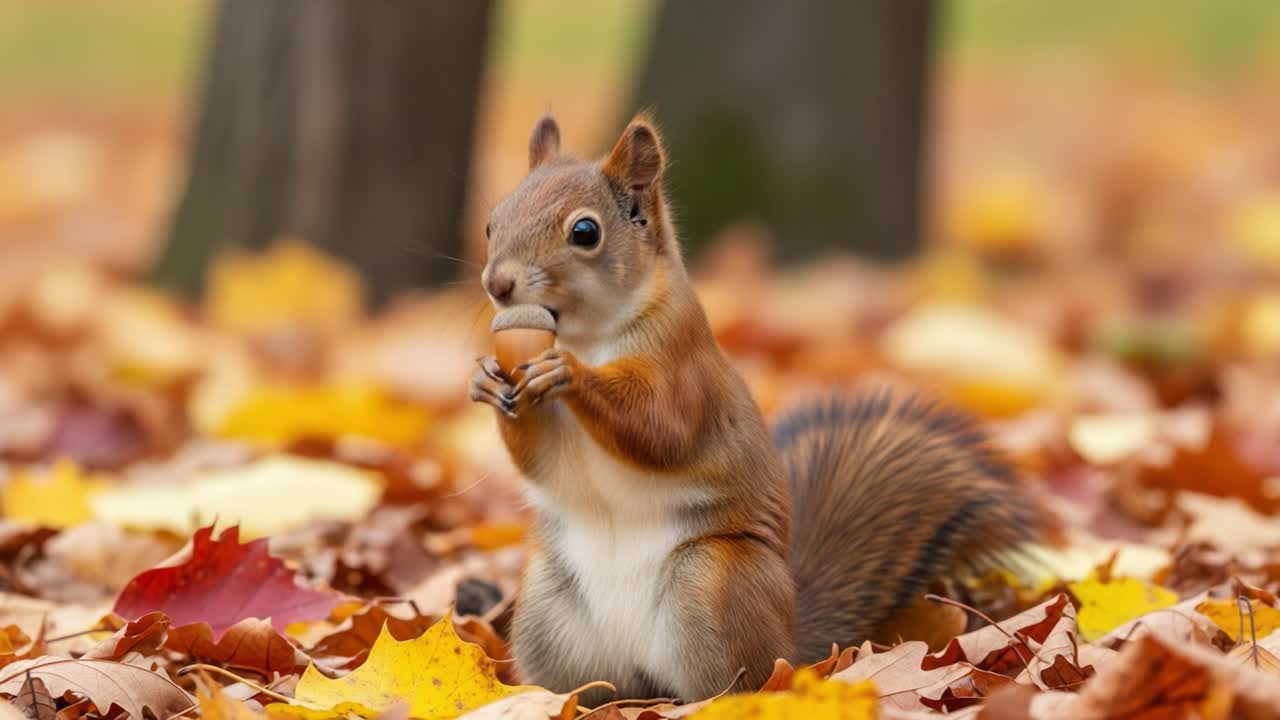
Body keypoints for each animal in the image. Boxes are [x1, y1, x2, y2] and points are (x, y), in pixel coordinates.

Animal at [468, 114, 1039, 702]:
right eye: (492, 222)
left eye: (585, 232)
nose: (497, 284)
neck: (590, 336)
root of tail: (792, 644)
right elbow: (543, 457)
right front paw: (489, 380)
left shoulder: (685, 370)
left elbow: (660, 429)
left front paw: (569, 373)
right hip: (548, 606)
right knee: (591, 689)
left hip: (712, 584)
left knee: (736, 682)